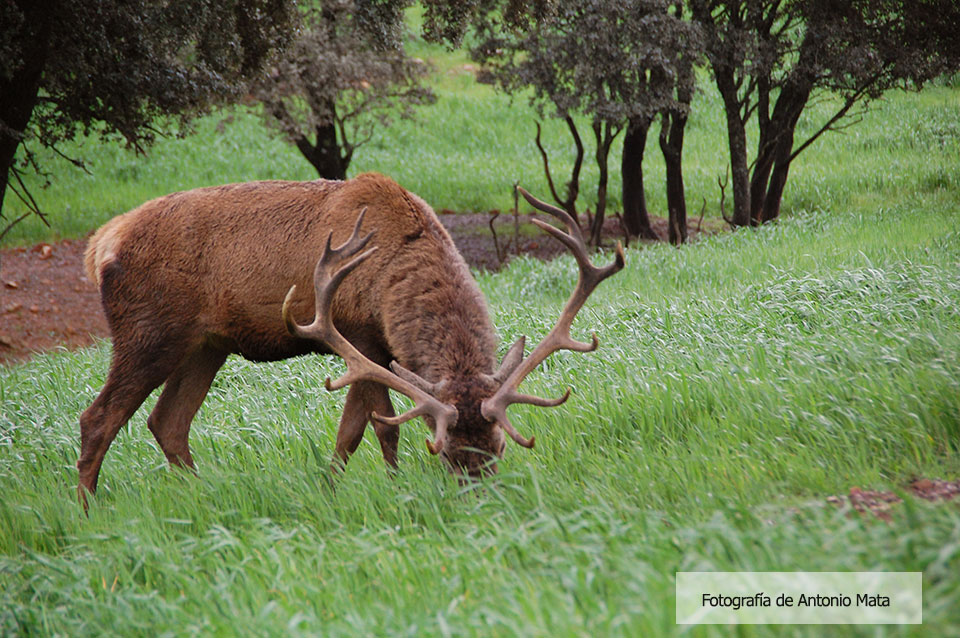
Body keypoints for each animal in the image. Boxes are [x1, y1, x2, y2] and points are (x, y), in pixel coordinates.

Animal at [79, 171, 628, 504]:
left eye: (496, 450)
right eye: (446, 452)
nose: (476, 502)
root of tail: (100, 244)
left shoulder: (377, 348)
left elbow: (357, 427)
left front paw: (333, 489)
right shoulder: (358, 336)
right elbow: (377, 427)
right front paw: (387, 486)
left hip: (207, 345)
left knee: (168, 422)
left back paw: (203, 493)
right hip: (147, 330)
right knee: (98, 418)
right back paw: (88, 513)